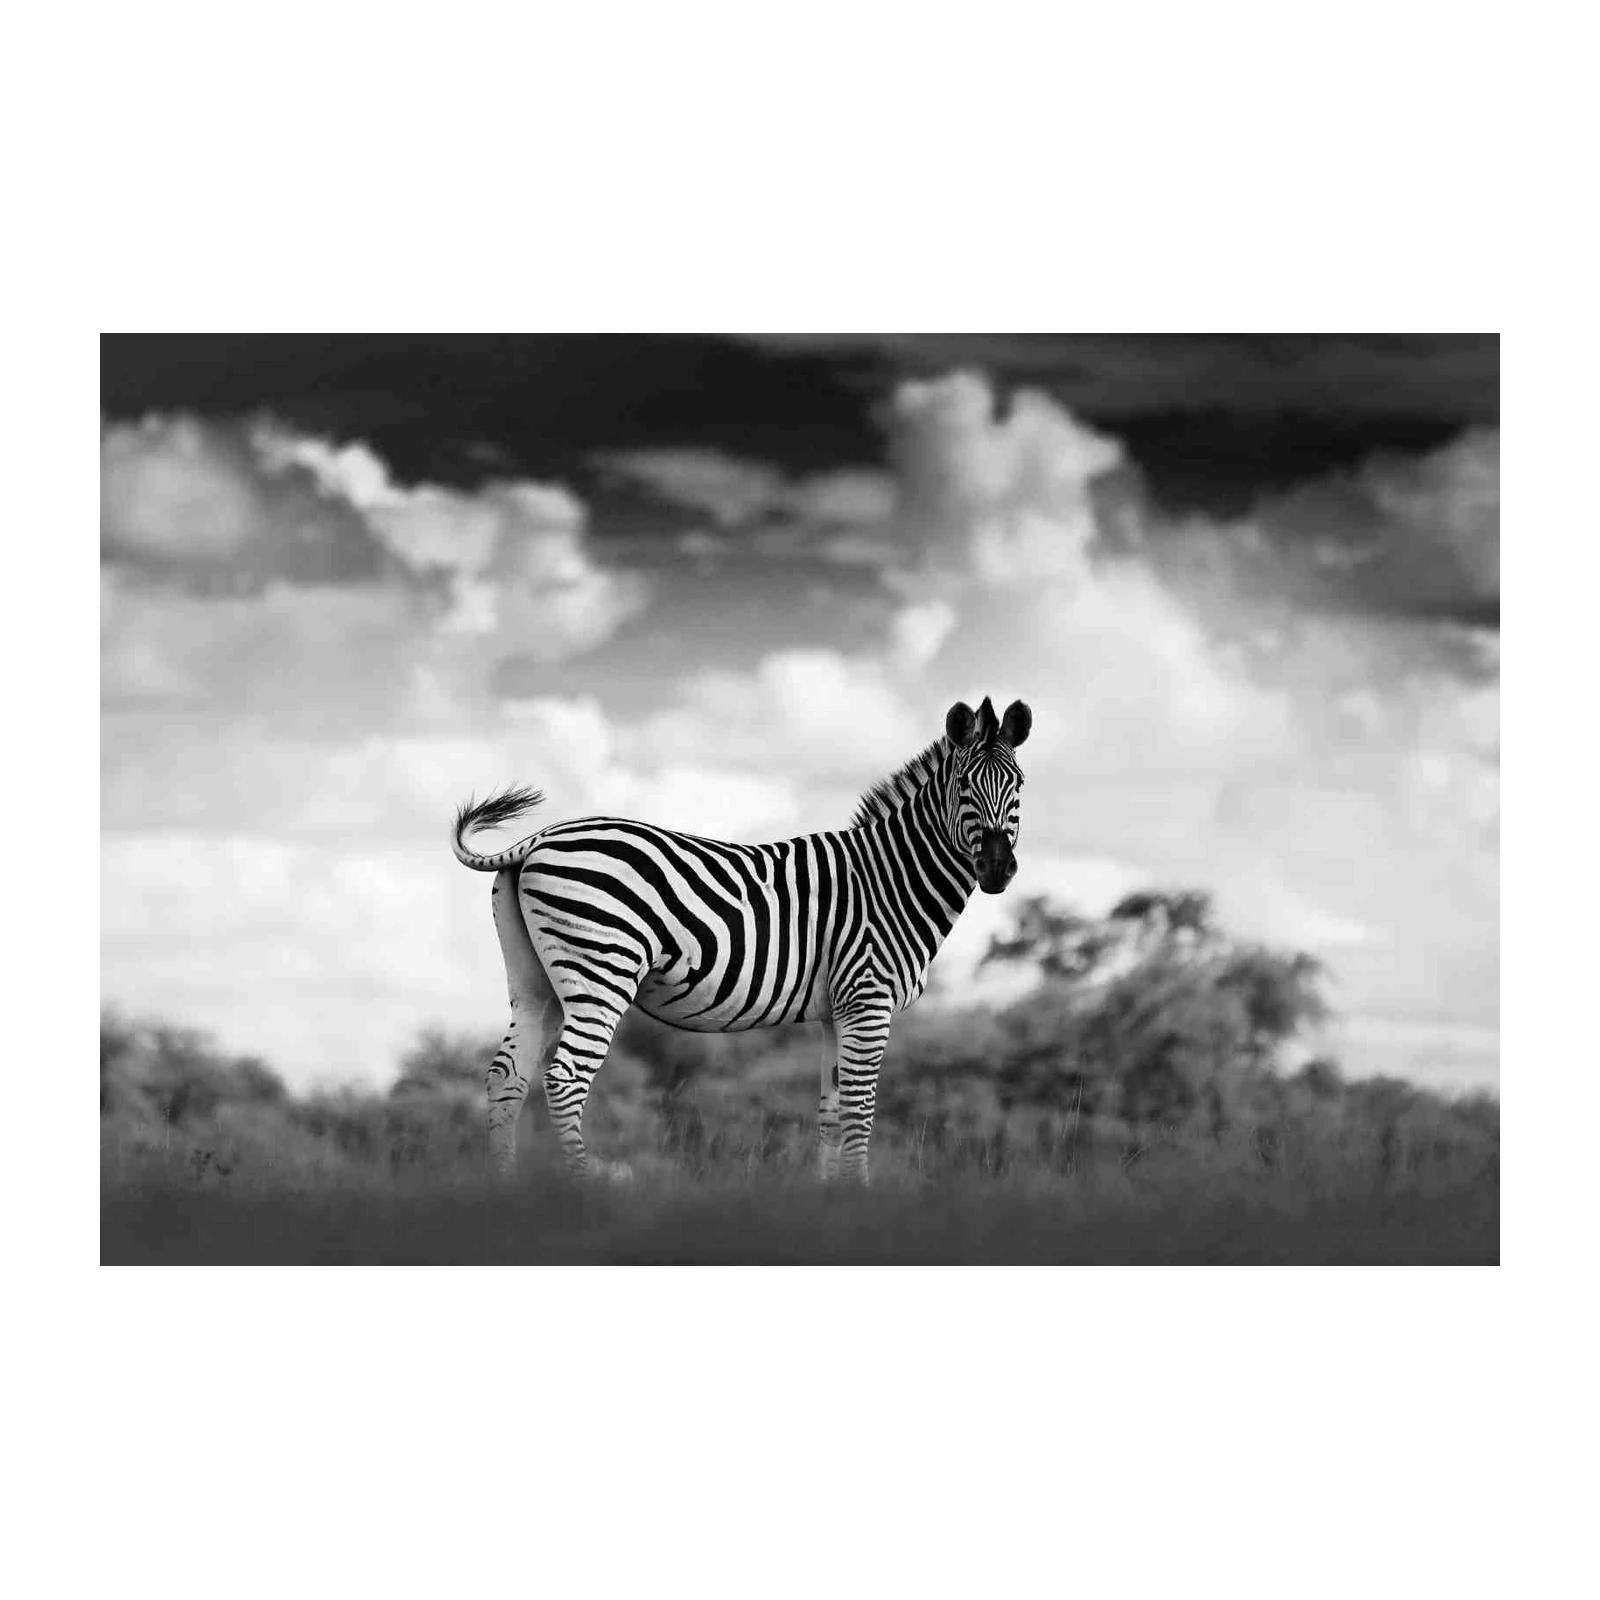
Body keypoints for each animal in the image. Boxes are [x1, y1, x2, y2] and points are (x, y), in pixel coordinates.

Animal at [451, 694, 1031, 1184]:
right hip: (602, 969)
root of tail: (538, 838)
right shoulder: (868, 998)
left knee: (507, 1076)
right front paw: (860, 1195)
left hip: (536, 982)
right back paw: (583, 1186)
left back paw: (507, 1187)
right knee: (565, 1078)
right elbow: (860, 1111)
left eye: (1019, 787)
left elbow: (832, 1112)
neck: (891, 878)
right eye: (964, 789)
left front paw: (834, 1200)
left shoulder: (837, 1009)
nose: (998, 869)